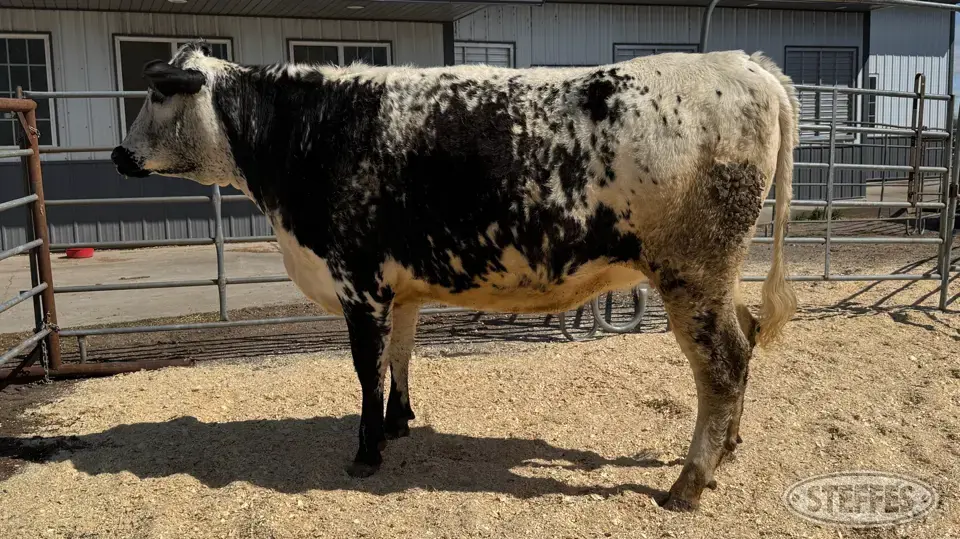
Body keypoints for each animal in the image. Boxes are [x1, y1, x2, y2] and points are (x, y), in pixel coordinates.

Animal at [111, 40, 798, 512]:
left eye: (158, 95)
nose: (118, 154)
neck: (303, 134)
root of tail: (742, 62)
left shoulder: (357, 280)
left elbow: (366, 369)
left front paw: (367, 453)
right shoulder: (400, 287)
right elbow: (401, 355)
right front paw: (399, 422)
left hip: (692, 271)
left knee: (723, 364)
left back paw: (688, 484)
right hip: (718, 274)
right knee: (745, 337)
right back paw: (728, 449)